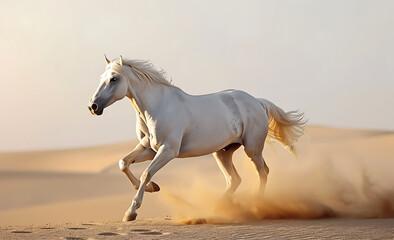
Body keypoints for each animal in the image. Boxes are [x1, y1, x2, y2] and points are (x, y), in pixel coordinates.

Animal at [87, 55, 306, 221]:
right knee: (234, 179)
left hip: (252, 149)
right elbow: (123, 163)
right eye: (101, 77)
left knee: (263, 172)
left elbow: (146, 173)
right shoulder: (148, 149)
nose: (93, 106)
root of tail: (257, 101)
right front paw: (152, 188)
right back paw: (217, 208)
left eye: (114, 79)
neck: (157, 107)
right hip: (223, 152)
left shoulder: (168, 150)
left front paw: (131, 212)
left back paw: (257, 206)